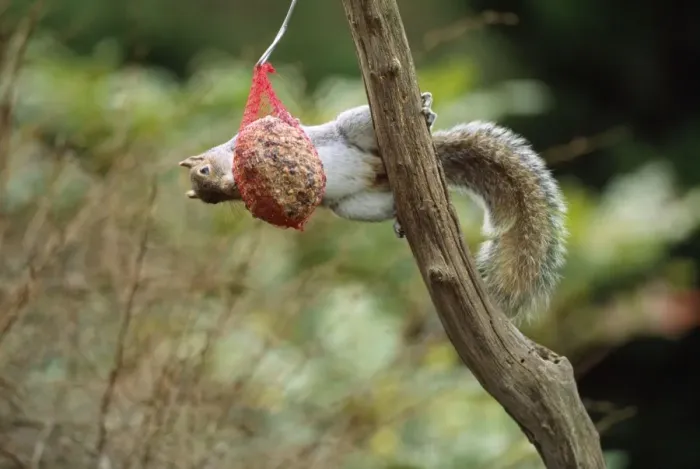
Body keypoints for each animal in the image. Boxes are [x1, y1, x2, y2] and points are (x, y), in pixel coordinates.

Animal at [178, 92, 567, 320]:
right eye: (212, 198)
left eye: (205, 170)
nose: (231, 187)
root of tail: (381, 170)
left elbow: (270, 125)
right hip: (354, 205)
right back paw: (398, 217)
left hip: (355, 127)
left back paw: (425, 113)